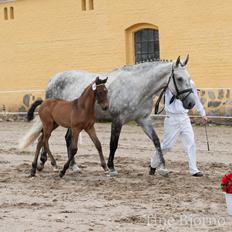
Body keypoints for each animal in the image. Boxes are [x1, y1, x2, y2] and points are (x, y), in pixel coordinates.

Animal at [20, 56, 195, 176]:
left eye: (189, 78)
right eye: (179, 78)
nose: (191, 103)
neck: (137, 87)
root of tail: (53, 79)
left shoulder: (143, 120)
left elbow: (157, 141)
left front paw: (162, 168)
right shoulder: (117, 120)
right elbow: (113, 145)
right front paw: (111, 168)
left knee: (65, 139)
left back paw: (72, 166)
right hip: (55, 122)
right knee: (44, 137)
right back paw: (44, 164)